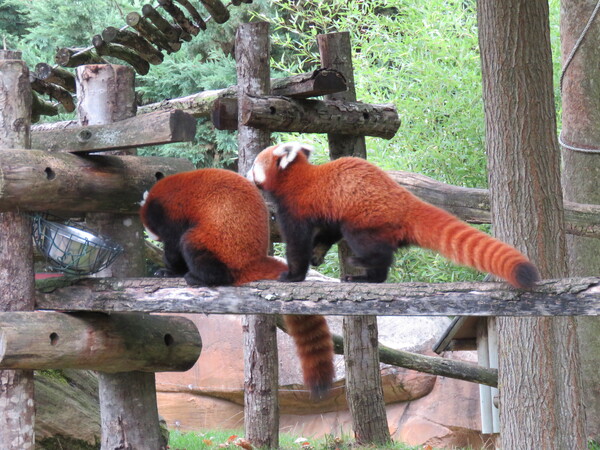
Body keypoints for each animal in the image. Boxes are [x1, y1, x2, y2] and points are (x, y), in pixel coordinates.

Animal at [141, 169, 338, 398]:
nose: (151, 235)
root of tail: (254, 261)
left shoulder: (172, 213)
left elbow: (174, 244)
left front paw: (170, 270)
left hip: (221, 243)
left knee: (190, 242)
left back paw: (199, 277)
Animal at [246, 142, 540, 288]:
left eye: (254, 164)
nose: (247, 173)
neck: (298, 179)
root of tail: (407, 202)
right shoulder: (329, 211)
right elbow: (327, 233)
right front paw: (318, 254)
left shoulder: (296, 207)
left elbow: (298, 243)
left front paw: (293, 274)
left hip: (367, 218)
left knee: (373, 248)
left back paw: (364, 269)